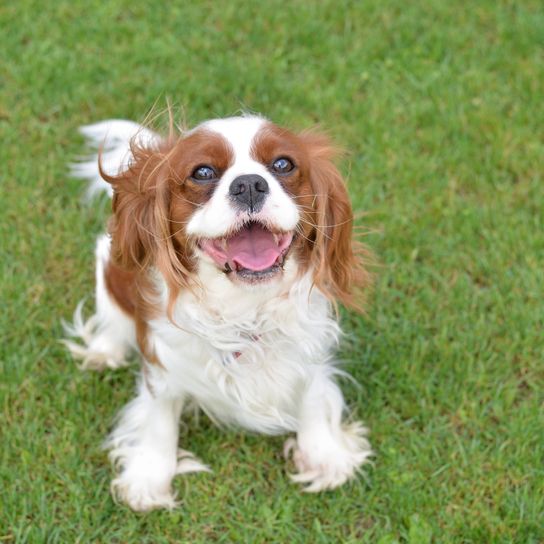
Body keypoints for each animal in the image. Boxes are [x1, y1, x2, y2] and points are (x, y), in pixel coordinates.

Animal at [62, 112, 370, 512]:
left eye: (283, 164)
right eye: (204, 172)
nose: (249, 184)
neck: (245, 306)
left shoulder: (311, 345)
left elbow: (315, 395)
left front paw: (324, 455)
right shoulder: (160, 362)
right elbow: (159, 419)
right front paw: (149, 478)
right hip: (109, 269)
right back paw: (104, 351)